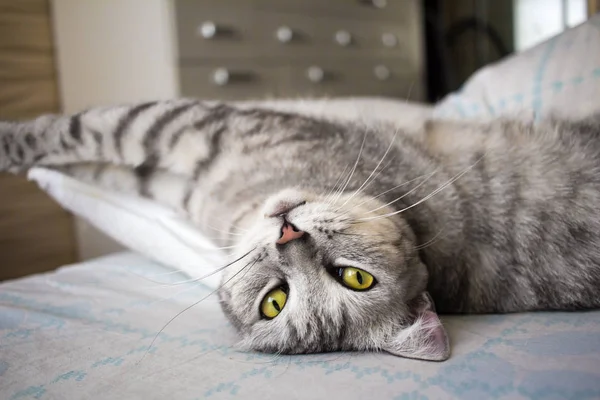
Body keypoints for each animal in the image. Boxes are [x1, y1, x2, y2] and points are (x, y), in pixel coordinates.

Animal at [1, 98, 600, 360]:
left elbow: (87, 131)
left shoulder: (190, 126)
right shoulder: (180, 165)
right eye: (275, 299)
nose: (288, 236)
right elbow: (95, 152)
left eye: (353, 278)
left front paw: (14, 147)